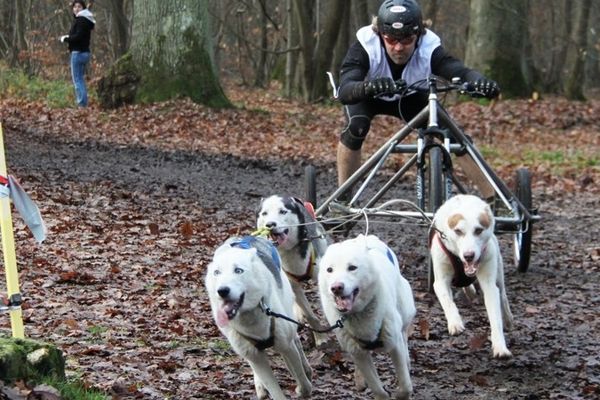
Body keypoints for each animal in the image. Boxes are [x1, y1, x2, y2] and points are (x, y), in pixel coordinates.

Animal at [204, 236, 312, 398]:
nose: (222, 290)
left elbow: (302, 380)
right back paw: (260, 385)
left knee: (296, 342)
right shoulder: (255, 356)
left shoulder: (286, 346)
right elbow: (274, 389)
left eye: (238, 270)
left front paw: (303, 387)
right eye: (217, 273)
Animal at [254, 195, 328, 346]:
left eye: (282, 211)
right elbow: (310, 315)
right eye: (264, 213)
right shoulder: (292, 283)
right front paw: (320, 336)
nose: (270, 224)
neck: (289, 250)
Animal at [318, 234, 412, 400]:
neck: (358, 314)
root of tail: (368, 238)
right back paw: (360, 379)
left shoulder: (395, 345)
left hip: (405, 311)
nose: (336, 287)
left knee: (404, 332)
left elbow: (405, 385)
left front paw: (401, 394)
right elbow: (377, 388)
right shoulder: (358, 354)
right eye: (329, 270)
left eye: (352, 267)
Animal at [428, 193, 512, 356]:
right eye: (458, 231)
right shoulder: (440, 280)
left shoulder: (489, 283)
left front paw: (500, 345)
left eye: (478, 230)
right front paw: (455, 322)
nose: (469, 256)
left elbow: (495, 315)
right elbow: (447, 301)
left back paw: (507, 317)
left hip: (498, 273)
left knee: (503, 294)